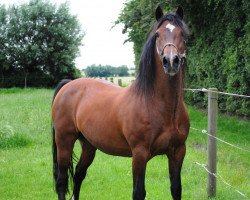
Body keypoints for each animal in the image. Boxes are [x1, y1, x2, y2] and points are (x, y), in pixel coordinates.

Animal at [52, 5, 189, 199]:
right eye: (157, 34)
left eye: (183, 34)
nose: (171, 61)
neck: (160, 106)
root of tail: (68, 85)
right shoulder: (139, 154)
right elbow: (138, 192)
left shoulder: (178, 152)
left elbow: (176, 189)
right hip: (64, 141)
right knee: (62, 181)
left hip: (89, 145)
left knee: (79, 174)